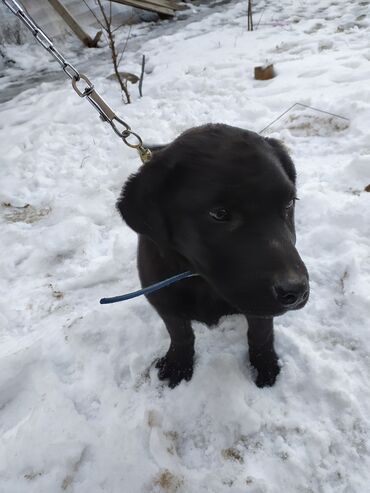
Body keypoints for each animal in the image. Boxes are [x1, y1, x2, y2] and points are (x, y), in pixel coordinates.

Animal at [117, 123, 308, 388]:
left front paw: (265, 364)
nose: (296, 291)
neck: (202, 280)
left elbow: (260, 333)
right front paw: (178, 363)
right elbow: (180, 333)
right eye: (219, 213)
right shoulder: (163, 297)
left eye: (289, 202)